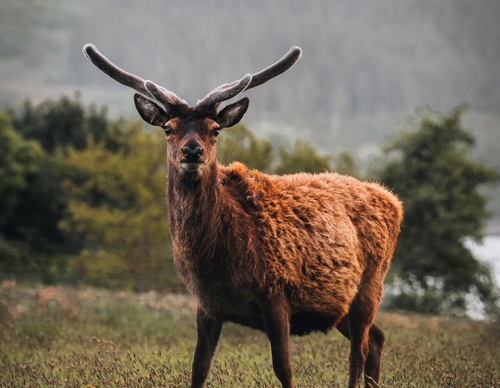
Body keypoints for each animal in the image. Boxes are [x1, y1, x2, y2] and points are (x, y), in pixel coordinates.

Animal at [83, 42, 402, 388]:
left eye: (215, 130)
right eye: (168, 128)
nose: (192, 151)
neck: (218, 258)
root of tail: (393, 201)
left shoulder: (275, 292)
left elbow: (284, 368)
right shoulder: (207, 304)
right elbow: (198, 368)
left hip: (371, 286)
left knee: (359, 351)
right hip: (336, 305)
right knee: (378, 339)